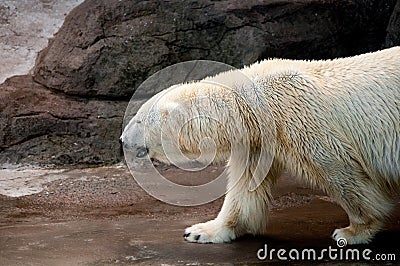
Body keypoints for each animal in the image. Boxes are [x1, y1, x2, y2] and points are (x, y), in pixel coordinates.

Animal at [121, 47, 400, 245]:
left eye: (138, 120)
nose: (122, 139)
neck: (255, 103)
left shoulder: (296, 117)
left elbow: (339, 170)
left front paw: (351, 231)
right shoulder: (257, 139)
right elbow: (245, 187)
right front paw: (202, 231)